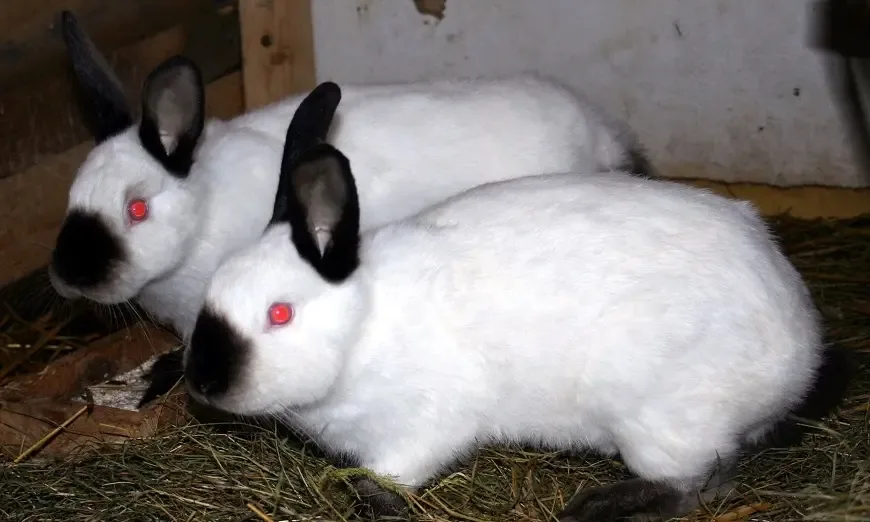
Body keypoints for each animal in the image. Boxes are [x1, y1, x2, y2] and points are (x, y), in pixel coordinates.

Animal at [181, 94, 841, 522]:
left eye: (280, 314)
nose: (203, 382)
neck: (363, 327)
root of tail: (802, 345)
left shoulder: (423, 426)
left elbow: (395, 471)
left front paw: (373, 502)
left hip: (664, 420)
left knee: (692, 484)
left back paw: (594, 506)